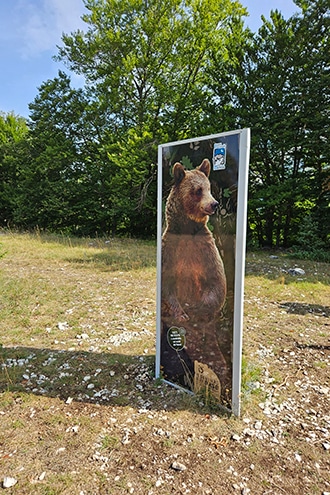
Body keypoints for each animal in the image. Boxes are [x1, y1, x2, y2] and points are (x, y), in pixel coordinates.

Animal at [160, 161, 228, 394]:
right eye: (197, 190)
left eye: (209, 188)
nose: (214, 204)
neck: (187, 230)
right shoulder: (171, 249)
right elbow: (167, 284)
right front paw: (182, 313)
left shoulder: (205, 247)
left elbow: (217, 283)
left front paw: (194, 309)